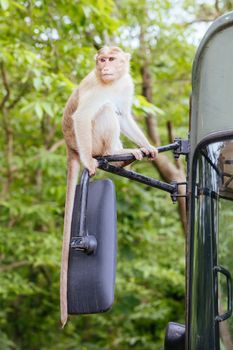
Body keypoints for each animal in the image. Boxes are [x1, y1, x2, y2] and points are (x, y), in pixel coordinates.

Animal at [60, 45, 158, 326]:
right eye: (101, 59)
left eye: (111, 59)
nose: (104, 67)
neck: (111, 81)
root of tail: (70, 147)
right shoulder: (95, 87)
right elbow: (83, 115)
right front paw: (88, 162)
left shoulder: (125, 83)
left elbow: (124, 115)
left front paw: (147, 145)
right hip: (90, 141)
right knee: (103, 110)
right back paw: (114, 152)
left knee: (112, 111)